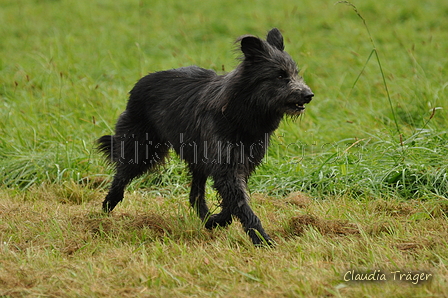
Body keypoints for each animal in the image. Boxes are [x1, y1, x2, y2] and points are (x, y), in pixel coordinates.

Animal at [98, 28, 314, 246]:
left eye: (295, 72)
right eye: (280, 75)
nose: (309, 95)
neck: (239, 110)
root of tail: (141, 82)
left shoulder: (240, 165)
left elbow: (233, 202)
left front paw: (217, 221)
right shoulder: (225, 166)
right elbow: (240, 203)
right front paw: (261, 239)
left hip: (196, 158)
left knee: (195, 195)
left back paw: (206, 218)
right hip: (142, 149)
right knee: (121, 176)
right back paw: (106, 209)